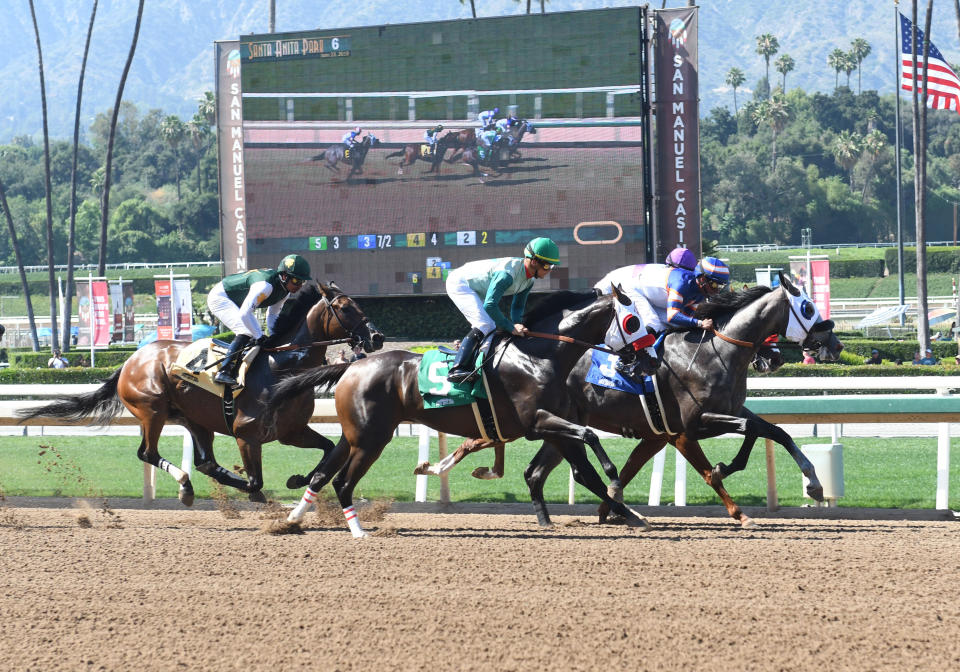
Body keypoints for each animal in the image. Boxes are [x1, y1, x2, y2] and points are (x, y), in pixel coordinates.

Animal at [18, 280, 382, 506]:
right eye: (345, 307)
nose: (376, 337)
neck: (281, 366)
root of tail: (131, 359)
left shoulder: (291, 430)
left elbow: (328, 448)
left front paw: (298, 480)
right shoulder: (246, 434)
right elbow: (255, 482)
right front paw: (256, 493)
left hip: (194, 419)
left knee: (205, 461)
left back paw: (190, 485)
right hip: (152, 410)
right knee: (148, 453)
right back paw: (186, 485)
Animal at [266, 288, 664, 536]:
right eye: (632, 321)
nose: (650, 360)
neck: (541, 356)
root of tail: (351, 366)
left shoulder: (555, 426)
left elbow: (585, 471)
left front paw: (630, 514)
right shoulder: (537, 422)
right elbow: (592, 439)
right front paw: (616, 483)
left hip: (356, 436)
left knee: (323, 475)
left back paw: (291, 520)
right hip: (371, 439)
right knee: (343, 482)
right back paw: (358, 531)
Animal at [520, 272, 844, 524]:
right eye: (808, 307)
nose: (836, 344)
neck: (714, 352)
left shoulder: (726, 412)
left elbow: (772, 430)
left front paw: (813, 482)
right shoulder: (691, 425)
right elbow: (748, 432)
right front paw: (728, 483)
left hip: (561, 426)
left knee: (536, 472)